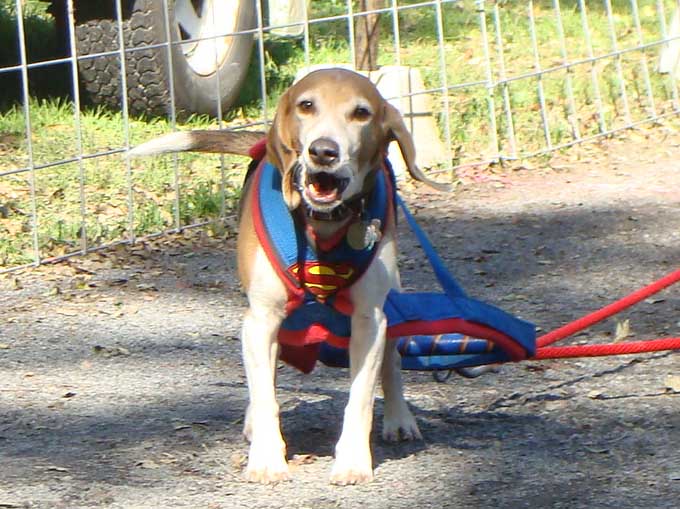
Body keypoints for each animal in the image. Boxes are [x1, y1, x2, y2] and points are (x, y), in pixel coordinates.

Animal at [130, 68, 448, 484]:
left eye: (361, 113)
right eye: (306, 105)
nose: (323, 151)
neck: (321, 224)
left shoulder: (369, 322)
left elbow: (360, 397)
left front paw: (352, 460)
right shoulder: (261, 319)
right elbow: (266, 395)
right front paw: (267, 458)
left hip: (391, 299)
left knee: (391, 365)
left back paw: (399, 419)